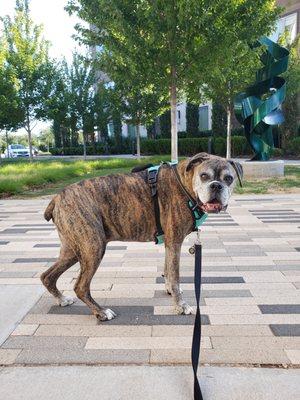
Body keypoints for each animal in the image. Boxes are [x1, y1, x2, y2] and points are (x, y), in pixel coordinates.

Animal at [41, 153, 241, 322]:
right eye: (204, 176)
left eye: (229, 179)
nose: (216, 185)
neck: (185, 182)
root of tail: (57, 198)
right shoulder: (175, 242)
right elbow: (175, 276)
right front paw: (180, 306)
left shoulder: (169, 244)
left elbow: (168, 271)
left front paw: (170, 290)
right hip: (93, 247)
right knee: (80, 286)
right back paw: (101, 312)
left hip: (74, 249)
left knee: (47, 276)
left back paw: (61, 299)